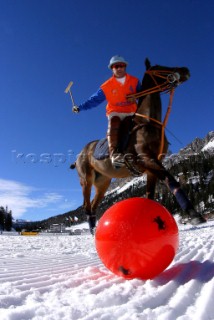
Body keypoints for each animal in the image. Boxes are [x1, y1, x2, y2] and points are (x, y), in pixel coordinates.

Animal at [71, 58, 206, 232]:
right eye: (159, 67)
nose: (185, 70)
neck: (149, 122)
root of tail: (80, 154)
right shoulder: (147, 159)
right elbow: (171, 180)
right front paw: (194, 214)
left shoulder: (152, 167)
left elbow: (150, 196)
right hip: (86, 180)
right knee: (87, 206)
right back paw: (93, 231)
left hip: (103, 182)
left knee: (94, 205)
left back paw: (95, 229)